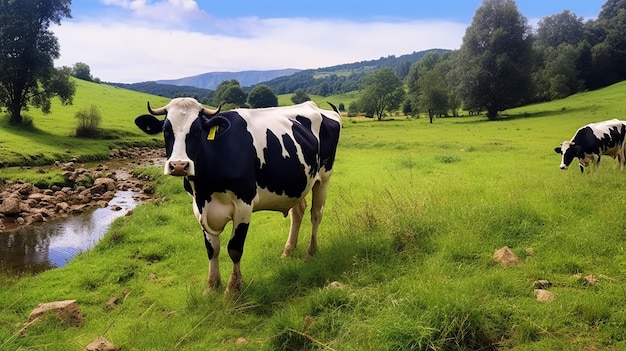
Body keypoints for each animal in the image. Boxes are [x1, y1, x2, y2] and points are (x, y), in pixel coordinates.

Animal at [133, 98, 342, 294]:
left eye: (197, 131)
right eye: (166, 131)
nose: (178, 165)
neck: (205, 187)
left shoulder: (244, 204)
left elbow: (234, 248)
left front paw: (233, 290)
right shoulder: (199, 206)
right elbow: (212, 249)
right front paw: (211, 287)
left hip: (324, 176)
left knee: (316, 214)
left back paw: (311, 252)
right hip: (297, 185)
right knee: (298, 212)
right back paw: (288, 251)